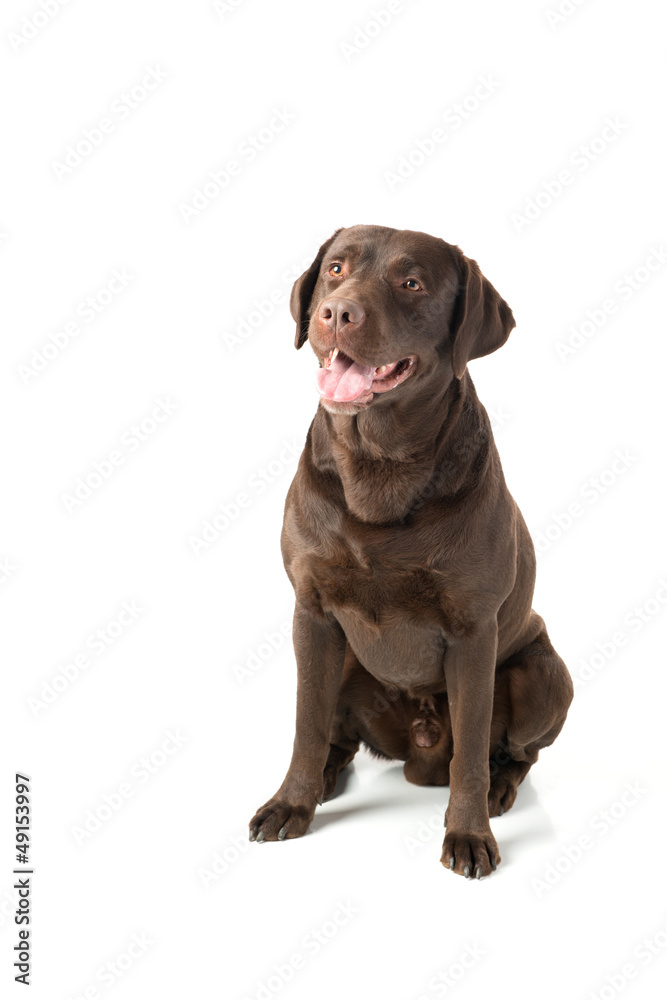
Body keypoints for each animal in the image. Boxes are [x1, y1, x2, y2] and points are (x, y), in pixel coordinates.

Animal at [248, 225, 572, 876]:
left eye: (412, 282)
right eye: (336, 269)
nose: (336, 311)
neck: (378, 465)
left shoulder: (473, 633)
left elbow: (469, 750)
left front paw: (468, 834)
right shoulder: (310, 614)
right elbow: (305, 724)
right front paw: (290, 804)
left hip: (547, 673)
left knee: (516, 752)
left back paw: (500, 789)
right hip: (346, 661)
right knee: (335, 737)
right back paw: (325, 781)